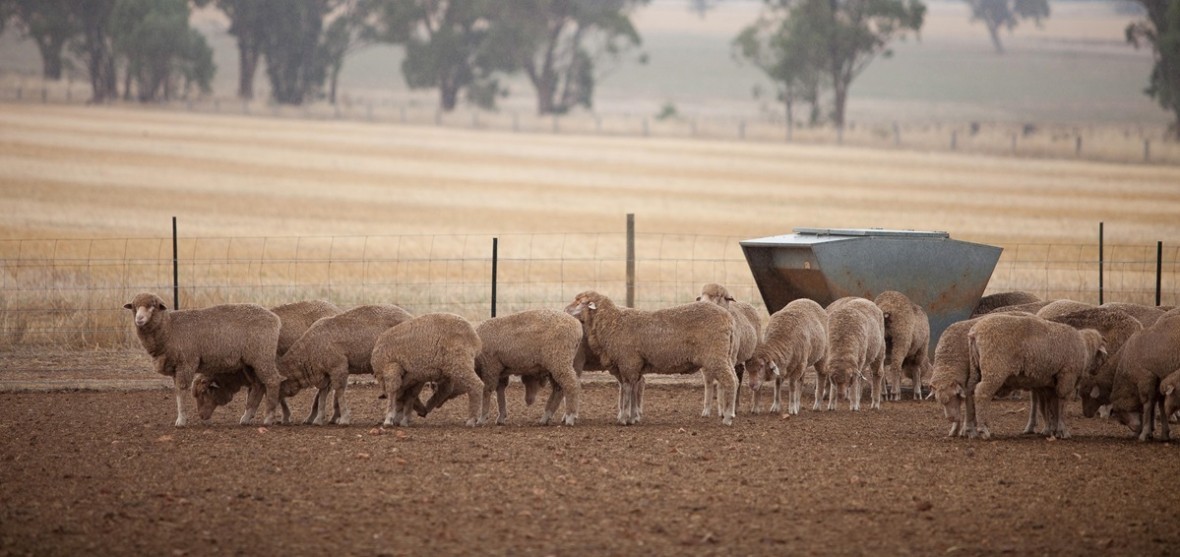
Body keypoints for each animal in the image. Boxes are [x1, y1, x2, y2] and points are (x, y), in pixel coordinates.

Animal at [123, 291, 283, 427]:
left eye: (153, 306)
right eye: (134, 307)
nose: (139, 319)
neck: (170, 328)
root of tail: (275, 318)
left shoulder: (187, 362)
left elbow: (182, 390)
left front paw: (181, 421)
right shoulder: (176, 366)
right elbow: (177, 391)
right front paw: (182, 418)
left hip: (263, 356)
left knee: (272, 380)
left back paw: (269, 418)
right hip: (250, 362)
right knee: (258, 385)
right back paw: (246, 417)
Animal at [278, 304, 417, 427]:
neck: (309, 349)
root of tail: (410, 316)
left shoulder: (338, 367)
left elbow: (339, 392)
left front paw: (344, 418)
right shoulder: (325, 372)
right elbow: (322, 394)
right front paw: (318, 419)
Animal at [564, 291, 736, 427]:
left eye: (579, 302)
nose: (565, 309)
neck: (613, 322)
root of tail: (728, 318)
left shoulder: (628, 362)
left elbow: (627, 390)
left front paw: (624, 418)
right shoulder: (633, 366)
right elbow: (633, 389)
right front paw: (633, 417)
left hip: (715, 356)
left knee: (729, 381)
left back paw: (727, 418)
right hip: (725, 355)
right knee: (734, 378)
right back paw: (731, 413)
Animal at [693, 285, 759, 415]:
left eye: (719, 296)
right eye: (701, 295)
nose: (703, 304)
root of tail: (746, 303)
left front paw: (723, 409)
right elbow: (708, 382)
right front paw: (706, 411)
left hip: (752, 351)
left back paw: (754, 407)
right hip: (736, 356)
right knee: (739, 373)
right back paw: (736, 405)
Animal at [967, 313, 1104, 438]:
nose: (1097, 371)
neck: (1085, 349)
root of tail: (975, 331)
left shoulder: (1050, 383)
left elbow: (1051, 405)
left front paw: (1053, 430)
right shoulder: (1067, 376)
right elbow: (1061, 404)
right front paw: (1063, 431)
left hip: (976, 368)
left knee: (972, 391)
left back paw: (977, 427)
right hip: (994, 368)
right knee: (982, 393)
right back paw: (983, 429)